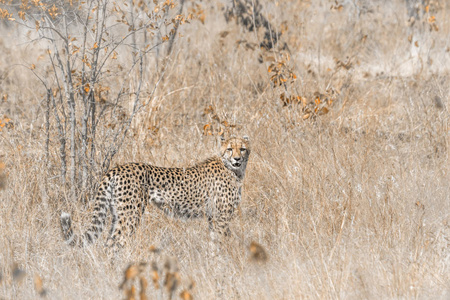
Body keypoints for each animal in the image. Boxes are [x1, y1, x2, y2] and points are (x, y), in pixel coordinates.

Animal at [59, 137, 250, 248]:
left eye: (242, 149)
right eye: (230, 149)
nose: (237, 159)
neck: (233, 169)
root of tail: (117, 168)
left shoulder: (212, 217)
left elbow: (213, 242)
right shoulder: (221, 217)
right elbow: (221, 242)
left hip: (117, 213)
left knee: (108, 241)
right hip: (131, 215)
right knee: (115, 242)